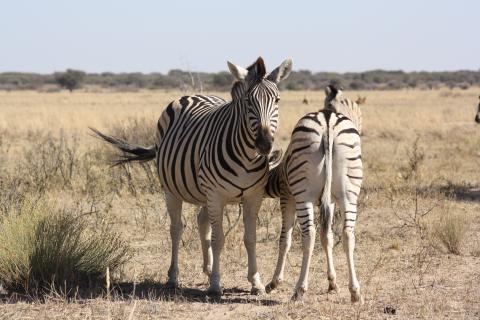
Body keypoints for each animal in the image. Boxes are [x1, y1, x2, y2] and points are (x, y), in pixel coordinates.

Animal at [91, 57, 290, 296]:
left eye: (277, 100)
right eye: (248, 102)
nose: (264, 144)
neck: (247, 158)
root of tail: (191, 95)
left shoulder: (253, 196)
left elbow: (250, 239)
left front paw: (256, 282)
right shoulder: (216, 195)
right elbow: (218, 239)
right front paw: (216, 285)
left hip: (204, 193)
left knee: (202, 222)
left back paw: (208, 268)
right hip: (172, 190)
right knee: (177, 229)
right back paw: (174, 277)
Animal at [264, 85, 362, 302]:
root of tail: (328, 122)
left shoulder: (287, 198)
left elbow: (285, 239)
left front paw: (274, 282)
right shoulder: (331, 201)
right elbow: (328, 238)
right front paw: (332, 283)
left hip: (304, 195)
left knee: (309, 235)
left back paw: (299, 289)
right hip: (349, 193)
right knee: (348, 234)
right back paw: (355, 292)